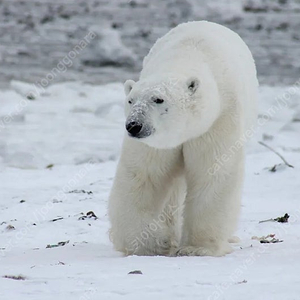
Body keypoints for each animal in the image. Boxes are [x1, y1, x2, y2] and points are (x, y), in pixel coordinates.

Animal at [108, 21, 258, 256]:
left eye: (158, 99)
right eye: (131, 100)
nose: (134, 125)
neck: (186, 55)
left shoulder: (218, 120)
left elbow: (212, 173)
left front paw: (197, 248)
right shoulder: (156, 143)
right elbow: (144, 176)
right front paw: (147, 245)